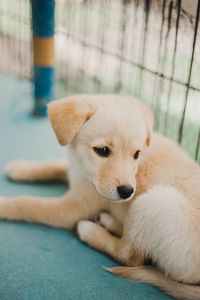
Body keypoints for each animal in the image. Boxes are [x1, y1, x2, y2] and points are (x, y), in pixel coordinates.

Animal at [1, 95, 200, 298]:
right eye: (102, 150)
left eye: (136, 154)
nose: (127, 192)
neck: (85, 171)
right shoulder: (78, 174)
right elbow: (53, 165)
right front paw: (21, 167)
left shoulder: (73, 209)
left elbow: (27, 204)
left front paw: (4, 204)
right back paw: (109, 221)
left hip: (156, 201)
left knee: (129, 255)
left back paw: (91, 231)